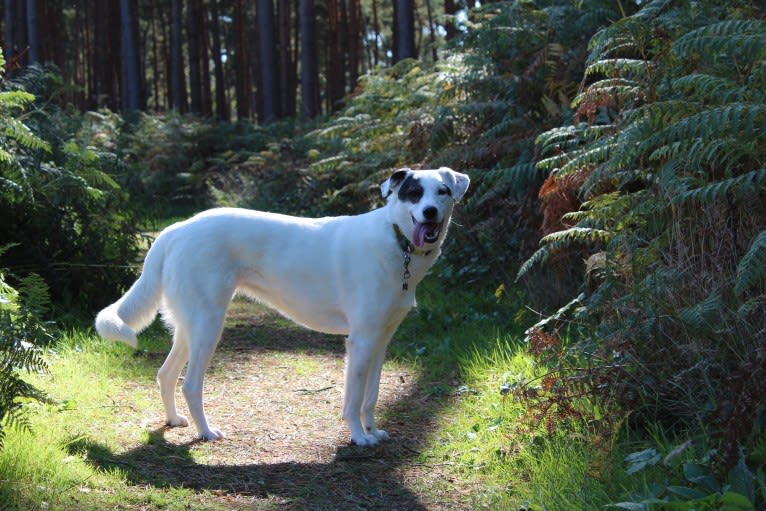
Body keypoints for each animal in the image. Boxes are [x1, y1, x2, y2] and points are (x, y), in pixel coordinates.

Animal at [96, 169, 468, 448]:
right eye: (414, 193)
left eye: (443, 191)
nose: (430, 213)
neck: (395, 240)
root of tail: (176, 230)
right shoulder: (361, 341)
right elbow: (352, 400)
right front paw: (359, 437)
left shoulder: (380, 340)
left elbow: (371, 396)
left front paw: (373, 431)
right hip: (208, 326)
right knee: (190, 384)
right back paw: (206, 432)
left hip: (190, 326)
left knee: (165, 373)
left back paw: (174, 420)